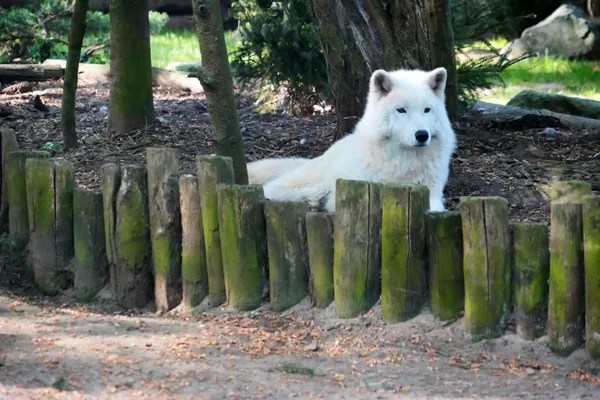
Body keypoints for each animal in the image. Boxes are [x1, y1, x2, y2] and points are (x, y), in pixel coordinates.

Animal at [246, 66, 458, 212]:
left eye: (427, 110)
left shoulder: (433, 195)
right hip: (313, 182)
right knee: (272, 189)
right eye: (401, 110)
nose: (422, 135)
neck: (404, 162)